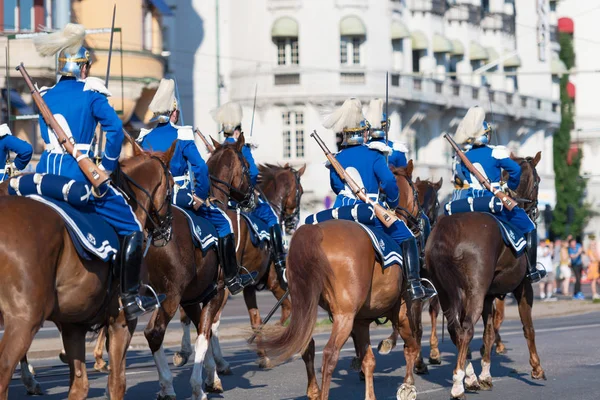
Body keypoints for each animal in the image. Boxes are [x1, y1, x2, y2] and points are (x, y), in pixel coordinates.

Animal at [0, 141, 176, 400]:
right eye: (172, 186)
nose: (167, 230)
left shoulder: (74, 325)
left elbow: (79, 386)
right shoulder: (122, 322)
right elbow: (117, 383)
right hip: (24, 321)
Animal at [262, 162, 422, 400]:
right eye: (417, 192)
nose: (421, 223)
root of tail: (316, 232)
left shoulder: (361, 321)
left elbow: (369, 360)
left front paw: (371, 395)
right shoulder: (401, 310)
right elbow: (410, 348)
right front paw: (408, 387)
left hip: (308, 308)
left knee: (307, 344)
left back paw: (314, 391)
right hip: (344, 316)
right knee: (329, 354)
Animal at [424, 152, 548, 398]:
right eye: (538, 181)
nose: (536, 211)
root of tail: (447, 230)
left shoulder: (490, 296)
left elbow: (489, 334)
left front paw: (485, 375)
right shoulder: (523, 288)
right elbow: (528, 328)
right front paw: (537, 368)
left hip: (445, 293)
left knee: (455, 330)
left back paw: (469, 378)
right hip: (473, 293)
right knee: (466, 329)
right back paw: (457, 384)